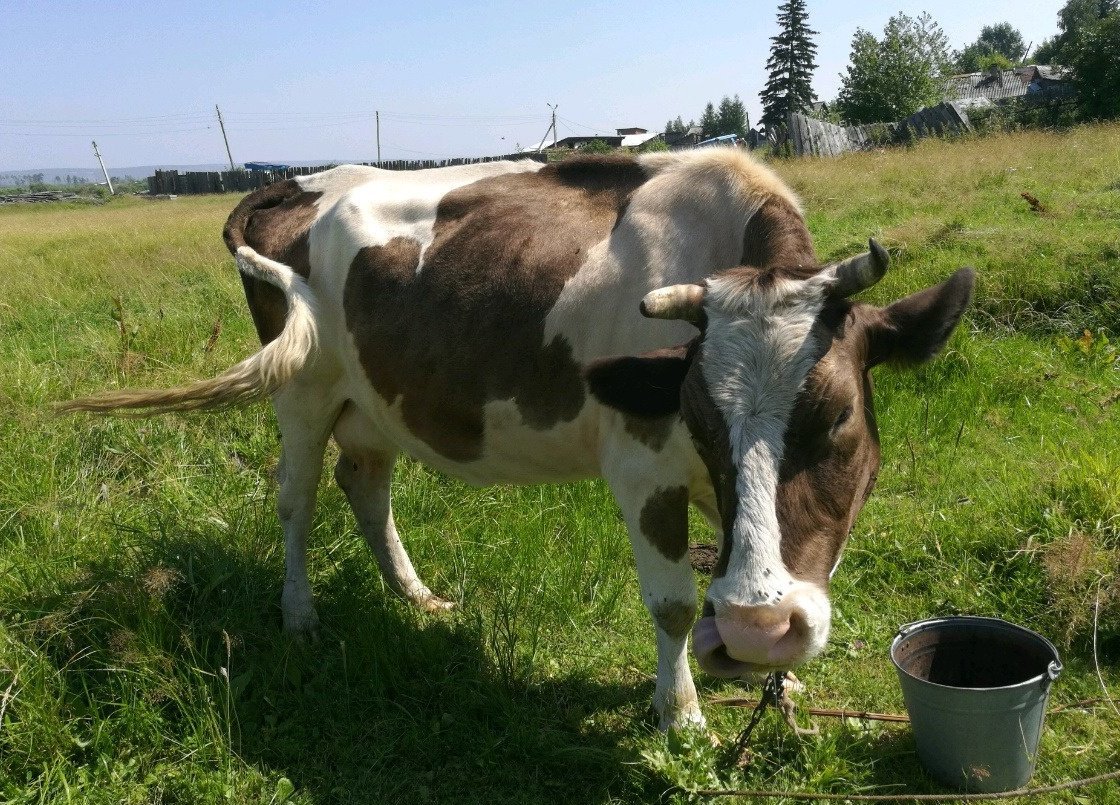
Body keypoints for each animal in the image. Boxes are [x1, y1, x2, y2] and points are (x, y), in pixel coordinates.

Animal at [59, 150, 972, 729]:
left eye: (839, 417)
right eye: (699, 414)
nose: (752, 629)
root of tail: (306, 179)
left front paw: (778, 684)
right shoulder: (642, 461)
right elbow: (675, 603)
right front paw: (682, 716)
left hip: (374, 398)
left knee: (366, 486)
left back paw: (416, 596)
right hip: (302, 388)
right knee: (296, 498)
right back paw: (299, 613)